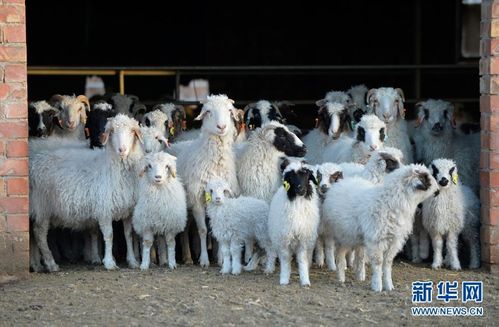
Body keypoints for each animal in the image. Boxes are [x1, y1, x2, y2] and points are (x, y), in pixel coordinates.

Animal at [29, 114, 144, 272]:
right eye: (112, 132)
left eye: (132, 131)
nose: (122, 149)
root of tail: (34, 161)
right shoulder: (104, 209)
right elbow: (109, 235)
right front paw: (109, 262)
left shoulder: (128, 210)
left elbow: (128, 235)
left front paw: (132, 261)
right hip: (42, 206)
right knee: (39, 233)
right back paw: (51, 264)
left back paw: (37, 265)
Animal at [176, 94, 242, 266]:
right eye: (209, 112)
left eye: (229, 111)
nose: (222, 126)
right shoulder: (197, 200)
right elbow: (203, 230)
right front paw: (204, 260)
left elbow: (215, 230)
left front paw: (220, 259)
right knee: (184, 230)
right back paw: (188, 257)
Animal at [270, 160, 320, 288]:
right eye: (291, 177)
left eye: (307, 176)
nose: (301, 189)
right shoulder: (284, 239)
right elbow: (285, 261)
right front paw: (284, 279)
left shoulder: (303, 240)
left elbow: (302, 260)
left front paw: (305, 281)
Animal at [324, 164, 438, 292]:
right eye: (426, 177)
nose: (438, 191)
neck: (391, 202)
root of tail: (341, 183)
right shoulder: (376, 240)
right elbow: (378, 262)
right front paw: (377, 286)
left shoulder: (394, 241)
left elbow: (387, 263)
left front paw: (389, 286)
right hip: (343, 235)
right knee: (340, 256)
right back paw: (340, 278)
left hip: (358, 238)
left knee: (360, 255)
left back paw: (360, 276)